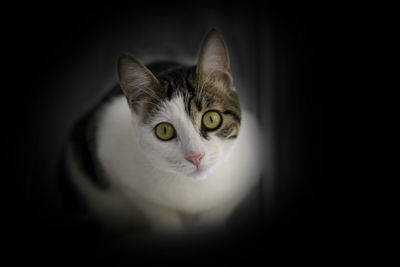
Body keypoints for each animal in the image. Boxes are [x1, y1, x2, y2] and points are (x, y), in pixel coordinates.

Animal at [61, 30, 262, 238]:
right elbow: (155, 208)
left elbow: (219, 209)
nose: (196, 156)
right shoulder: (112, 158)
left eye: (211, 119)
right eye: (164, 130)